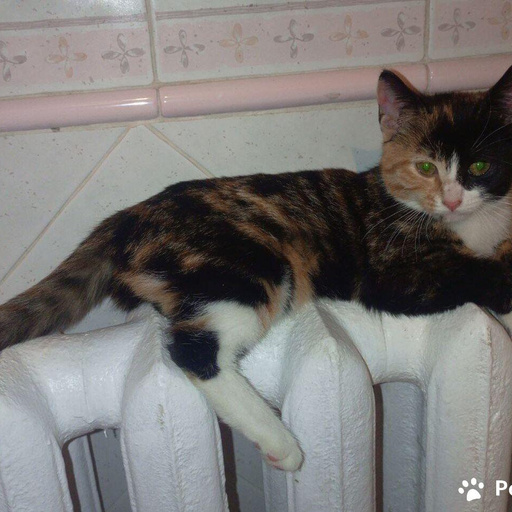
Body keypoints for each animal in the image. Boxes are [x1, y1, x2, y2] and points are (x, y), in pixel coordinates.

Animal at [1, 66, 512, 472]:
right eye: (425, 167)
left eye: (480, 166)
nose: (453, 200)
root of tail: (126, 217)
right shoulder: (390, 269)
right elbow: (473, 272)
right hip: (249, 265)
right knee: (194, 351)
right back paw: (280, 441)